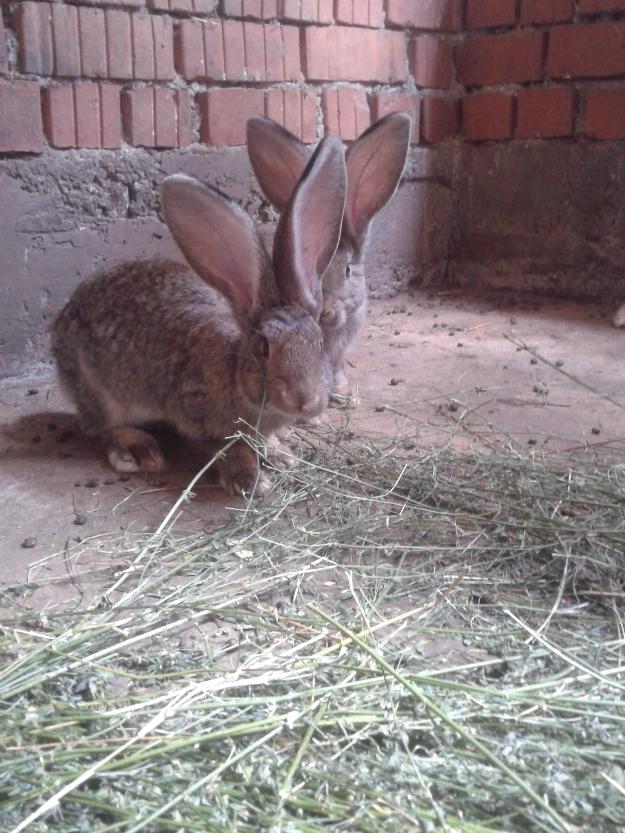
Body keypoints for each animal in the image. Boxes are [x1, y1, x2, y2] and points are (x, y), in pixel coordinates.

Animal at [50, 133, 346, 490]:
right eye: (263, 348)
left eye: (319, 343)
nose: (305, 397)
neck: (233, 373)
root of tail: (59, 329)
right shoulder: (197, 413)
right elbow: (226, 448)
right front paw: (250, 480)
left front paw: (281, 456)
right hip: (101, 393)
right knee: (98, 427)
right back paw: (139, 451)